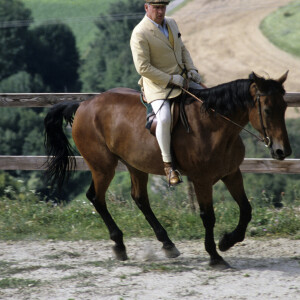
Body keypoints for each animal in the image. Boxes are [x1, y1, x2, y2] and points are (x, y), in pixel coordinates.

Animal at [44, 71, 290, 268]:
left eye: (285, 107)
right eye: (268, 109)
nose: (282, 151)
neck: (215, 126)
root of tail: (84, 105)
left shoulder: (231, 174)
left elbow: (246, 210)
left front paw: (226, 242)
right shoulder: (202, 180)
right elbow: (208, 216)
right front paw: (214, 255)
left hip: (135, 165)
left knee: (140, 199)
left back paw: (167, 243)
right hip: (103, 167)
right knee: (96, 197)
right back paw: (119, 244)